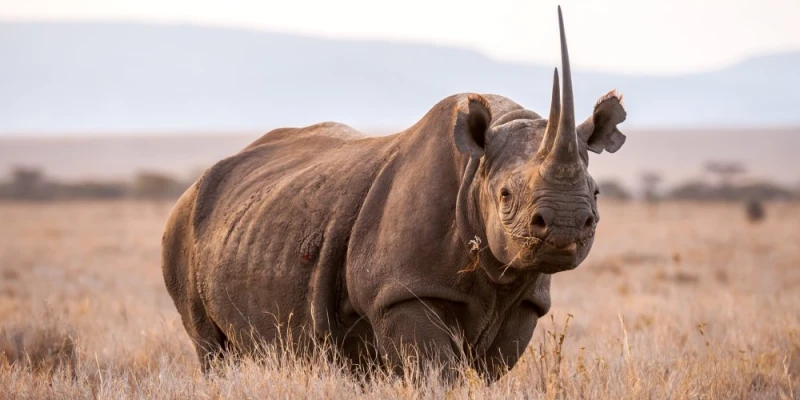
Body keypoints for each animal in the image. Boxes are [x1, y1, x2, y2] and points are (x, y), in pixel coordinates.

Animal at [161, 6, 627, 381]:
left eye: (596, 194)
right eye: (506, 195)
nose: (565, 225)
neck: (476, 170)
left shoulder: (526, 300)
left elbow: (488, 371)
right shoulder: (404, 290)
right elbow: (439, 373)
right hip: (182, 225)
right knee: (210, 347)